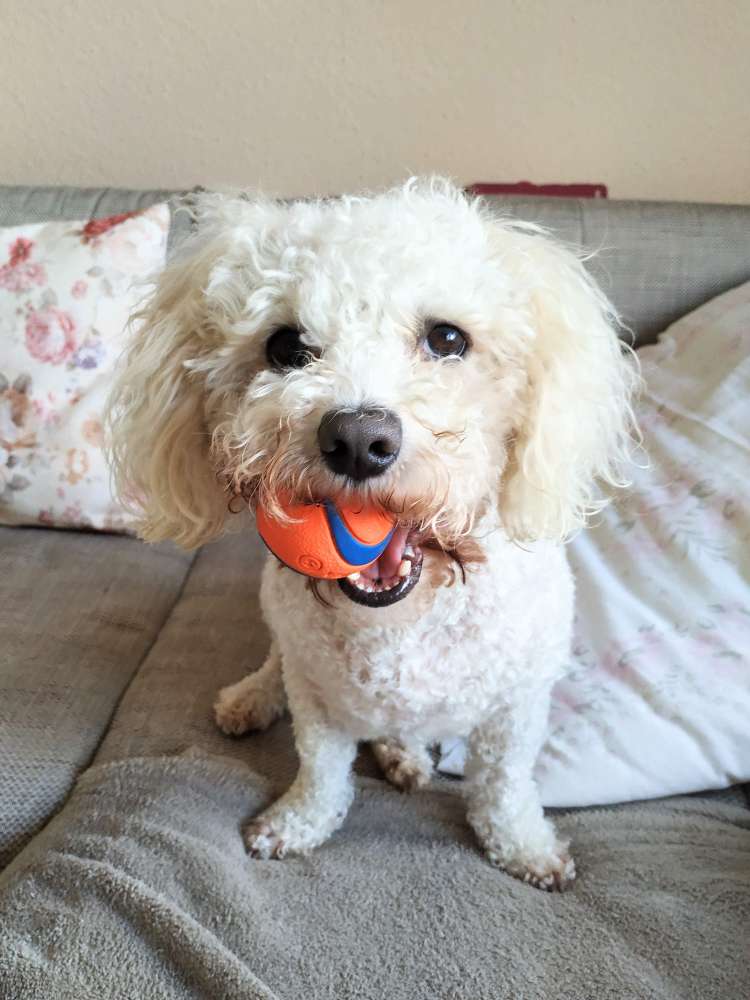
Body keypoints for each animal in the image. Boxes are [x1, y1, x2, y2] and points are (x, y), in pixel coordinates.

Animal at [108, 178, 636, 892]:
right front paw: (297, 823)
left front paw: (525, 847)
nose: (358, 441)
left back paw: (402, 751)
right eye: (286, 347)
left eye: (447, 338)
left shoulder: (517, 706)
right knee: (274, 662)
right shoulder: (316, 698)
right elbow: (321, 773)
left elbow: (503, 787)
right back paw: (252, 699)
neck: (401, 623)